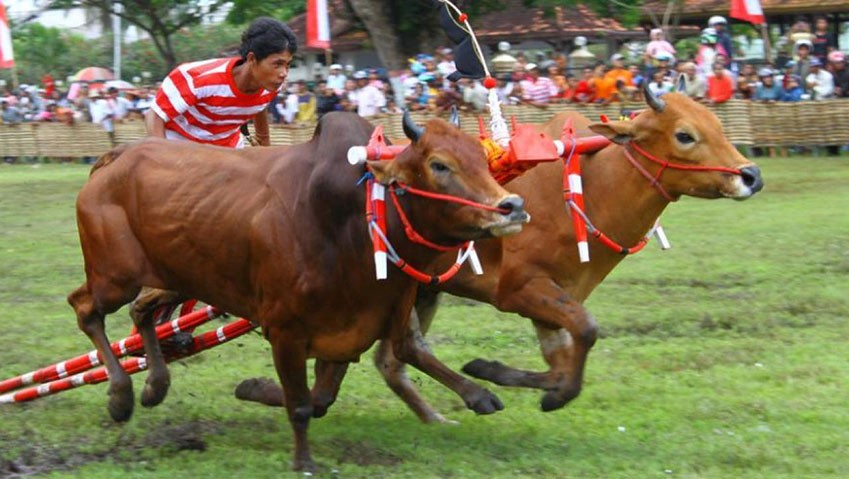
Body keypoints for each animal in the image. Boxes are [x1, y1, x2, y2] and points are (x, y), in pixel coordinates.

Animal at [66, 110, 528, 470]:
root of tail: (116, 157)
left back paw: (154, 386)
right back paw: (121, 396)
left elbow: (401, 356)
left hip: (176, 280)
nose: (512, 207)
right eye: (440, 164)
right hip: (114, 278)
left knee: (141, 312)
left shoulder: (371, 319)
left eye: (480, 157)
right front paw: (303, 460)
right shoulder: (285, 332)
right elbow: (304, 404)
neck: (352, 220)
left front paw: (478, 393)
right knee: (85, 308)